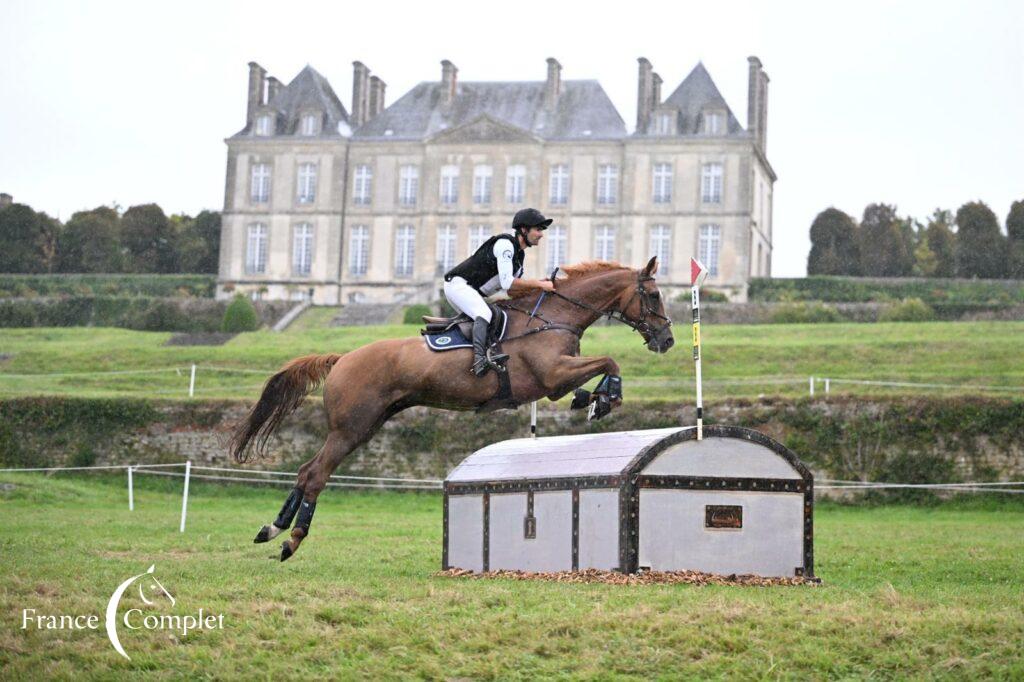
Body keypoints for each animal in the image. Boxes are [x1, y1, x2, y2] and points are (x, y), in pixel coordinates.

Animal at [235, 254, 675, 557]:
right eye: (654, 295)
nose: (667, 341)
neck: (554, 316)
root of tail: (342, 358)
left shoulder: (553, 383)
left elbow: (599, 369)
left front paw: (593, 398)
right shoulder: (551, 376)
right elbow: (610, 362)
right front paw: (604, 399)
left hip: (366, 425)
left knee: (307, 470)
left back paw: (272, 528)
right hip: (351, 429)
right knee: (315, 474)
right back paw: (291, 538)